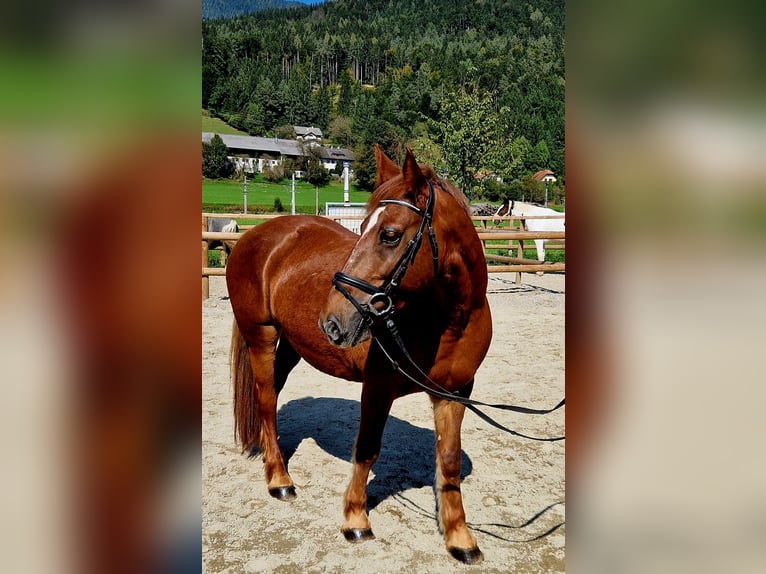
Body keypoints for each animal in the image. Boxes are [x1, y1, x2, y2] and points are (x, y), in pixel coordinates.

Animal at [226, 146, 492, 564]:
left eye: (389, 234)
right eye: (364, 225)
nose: (333, 321)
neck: (448, 320)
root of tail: (253, 236)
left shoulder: (456, 392)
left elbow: (448, 460)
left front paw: (460, 538)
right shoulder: (378, 387)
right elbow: (366, 449)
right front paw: (355, 519)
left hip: (291, 345)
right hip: (261, 335)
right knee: (266, 400)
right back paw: (280, 479)